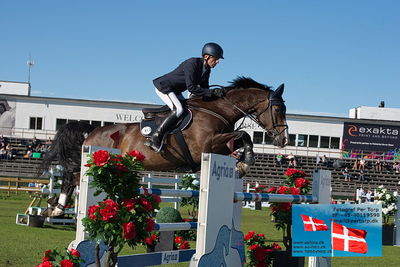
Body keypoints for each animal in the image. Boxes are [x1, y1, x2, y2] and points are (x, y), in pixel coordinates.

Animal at [41, 76, 288, 218]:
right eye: (278, 110)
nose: (283, 140)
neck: (218, 110)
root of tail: (91, 130)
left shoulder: (218, 146)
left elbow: (240, 139)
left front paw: (241, 164)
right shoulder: (207, 145)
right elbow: (244, 134)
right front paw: (246, 163)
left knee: (71, 177)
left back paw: (56, 207)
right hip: (98, 161)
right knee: (73, 178)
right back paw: (57, 208)